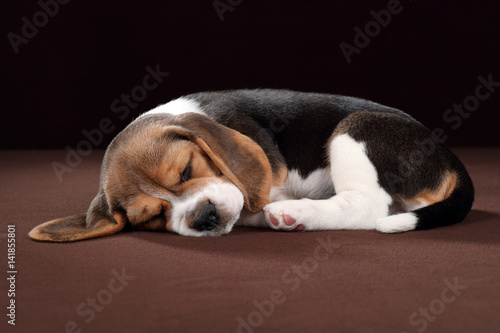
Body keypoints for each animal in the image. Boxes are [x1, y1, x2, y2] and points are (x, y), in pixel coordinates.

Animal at [29, 89, 474, 241]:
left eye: (186, 171)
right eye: (152, 217)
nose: (203, 217)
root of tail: (445, 153)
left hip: (356, 130)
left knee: (369, 207)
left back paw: (293, 213)